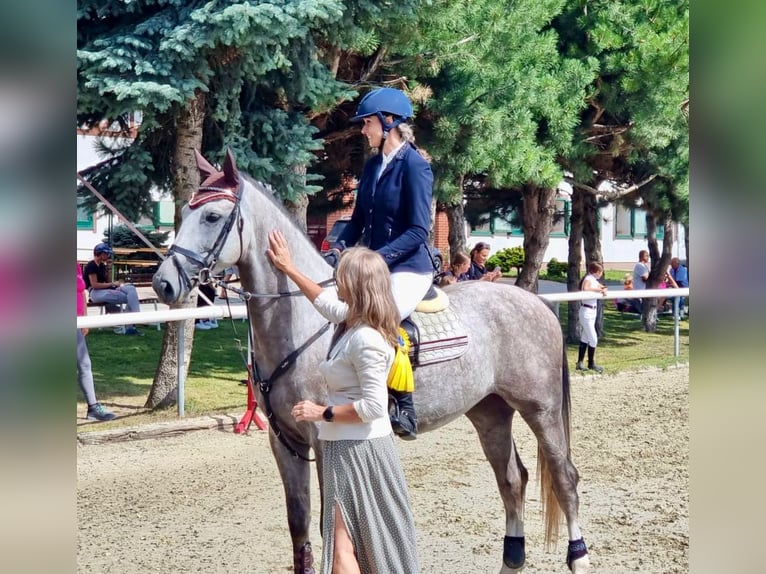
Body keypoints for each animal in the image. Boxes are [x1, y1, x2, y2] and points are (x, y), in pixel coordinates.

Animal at [153, 150, 591, 574]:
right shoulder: (284, 442)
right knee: (512, 479)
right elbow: (299, 524)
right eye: (185, 210)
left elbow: (332, 524)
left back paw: (579, 558)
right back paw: (511, 561)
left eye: (211, 216)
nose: (163, 284)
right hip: (489, 411)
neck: (303, 317)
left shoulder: (325, 439)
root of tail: (534, 300)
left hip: (541, 409)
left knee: (565, 477)